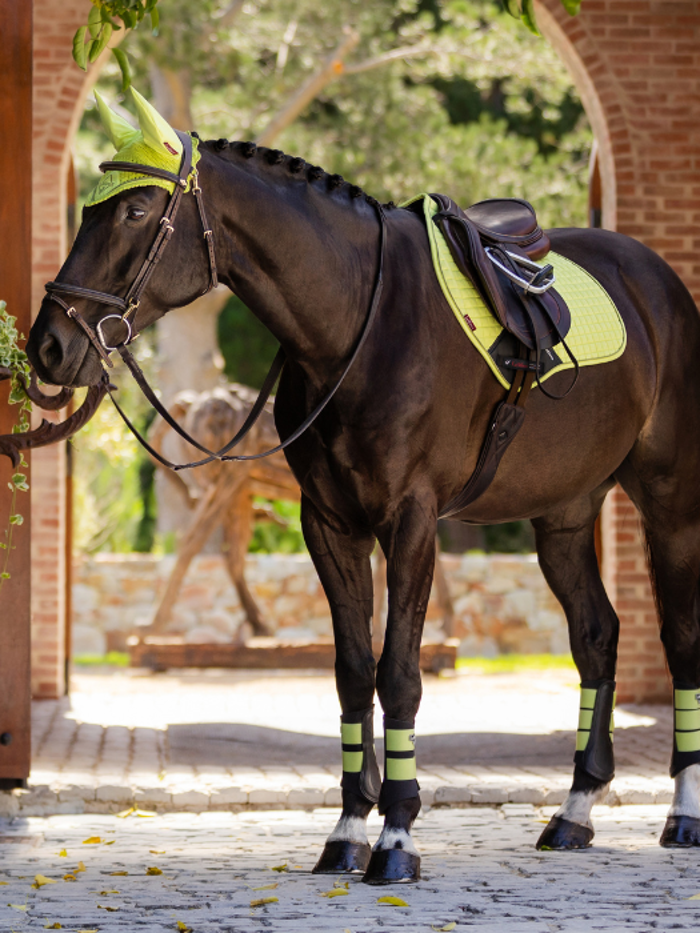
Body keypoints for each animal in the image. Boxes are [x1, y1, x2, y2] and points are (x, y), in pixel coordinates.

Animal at [26, 91, 700, 884]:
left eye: (135, 210)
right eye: (89, 210)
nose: (48, 347)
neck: (358, 323)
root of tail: (657, 281)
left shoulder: (411, 521)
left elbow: (400, 672)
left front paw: (398, 836)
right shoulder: (329, 522)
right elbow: (353, 672)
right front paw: (348, 828)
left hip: (670, 501)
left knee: (680, 637)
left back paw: (683, 812)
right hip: (564, 515)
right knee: (596, 636)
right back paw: (575, 811)